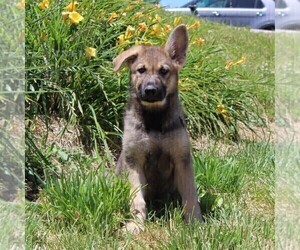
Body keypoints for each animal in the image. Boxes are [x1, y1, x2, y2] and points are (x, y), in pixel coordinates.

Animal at [113, 24, 203, 233]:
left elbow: (190, 197)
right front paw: (137, 224)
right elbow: (137, 199)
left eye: (164, 71)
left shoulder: (182, 160)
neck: (154, 120)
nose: (151, 91)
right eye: (141, 70)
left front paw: (195, 224)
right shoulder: (134, 160)